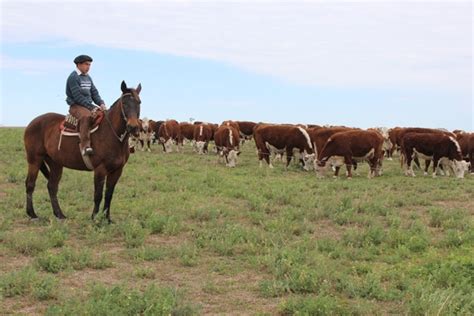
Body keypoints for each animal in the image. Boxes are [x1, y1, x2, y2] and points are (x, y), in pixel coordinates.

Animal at [24, 81, 142, 222]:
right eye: (124, 103)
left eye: (139, 102)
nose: (133, 127)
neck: (112, 135)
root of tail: (32, 123)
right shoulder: (100, 170)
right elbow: (98, 195)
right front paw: (94, 218)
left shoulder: (117, 171)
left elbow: (109, 195)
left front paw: (107, 219)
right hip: (34, 160)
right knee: (30, 184)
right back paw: (32, 214)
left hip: (55, 163)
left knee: (52, 186)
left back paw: (59, 214)